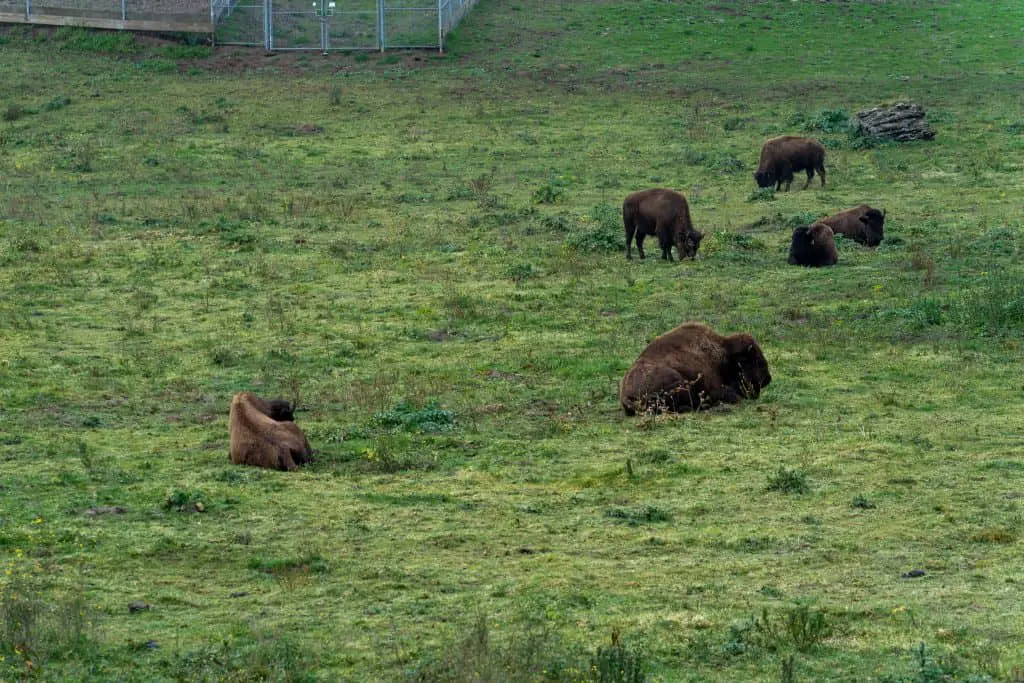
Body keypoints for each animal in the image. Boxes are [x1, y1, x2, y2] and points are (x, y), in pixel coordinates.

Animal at [614, 321, 770, 417]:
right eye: (754, 360)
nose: (767, 379)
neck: (724, 353)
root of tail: (624, 393)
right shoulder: (714, 388)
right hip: (677, 382)